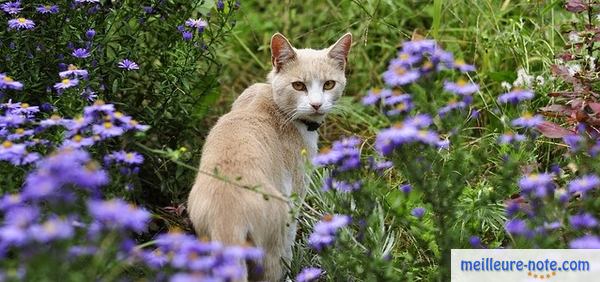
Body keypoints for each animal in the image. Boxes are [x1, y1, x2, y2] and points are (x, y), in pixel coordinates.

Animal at [188, 32, 352, 280]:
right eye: (298, 85)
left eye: (329, 84)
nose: (316, 104)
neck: (273, 104)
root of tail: (226, 216)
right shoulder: (297, 192)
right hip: (274, 239)